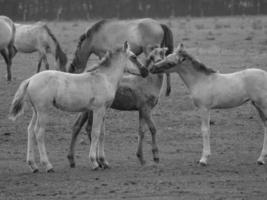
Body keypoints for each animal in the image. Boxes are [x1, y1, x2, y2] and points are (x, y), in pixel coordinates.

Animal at [8, 41, 149, 173]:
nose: (145, 71)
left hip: (36, 111)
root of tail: (31, 79)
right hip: (43, 111)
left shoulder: (104, 111)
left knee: (30, 131)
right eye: (134, 57)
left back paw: (33, 165)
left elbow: (102, 134)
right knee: (39, 132)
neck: (104, 78)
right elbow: (95, 132)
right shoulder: (98, 110)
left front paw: (104, 162)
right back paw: (48, 165)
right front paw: (94, 162)